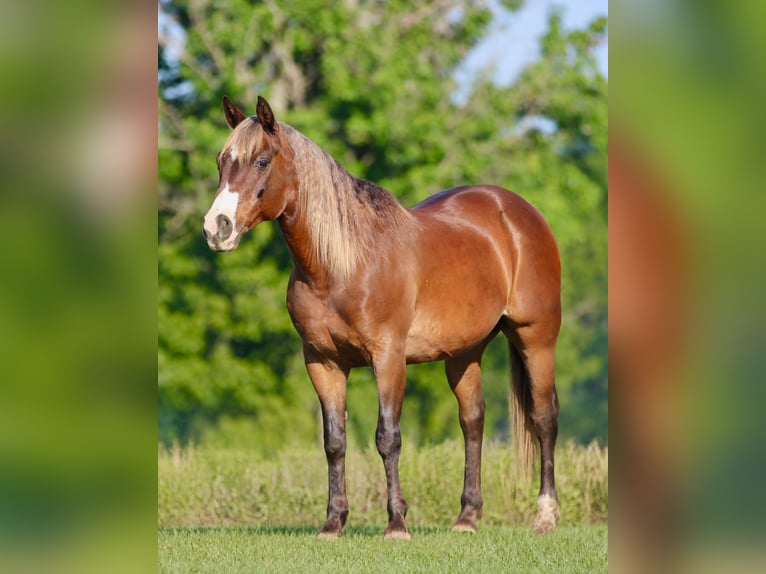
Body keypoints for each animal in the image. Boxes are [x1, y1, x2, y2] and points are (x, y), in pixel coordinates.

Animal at [203, 96, 562, 539]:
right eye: (221, 161)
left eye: (262, 161)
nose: (216, 227)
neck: (342, 264)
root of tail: (518, 212)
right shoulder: (322, 362)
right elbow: (334, 441)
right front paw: (333, 522)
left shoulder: (388, 357)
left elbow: (387, 437)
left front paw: (396, 523)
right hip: (464, 353)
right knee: (472, 421)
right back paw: (467, 517)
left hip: (536, 338)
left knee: (544, 418)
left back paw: (545, 515)